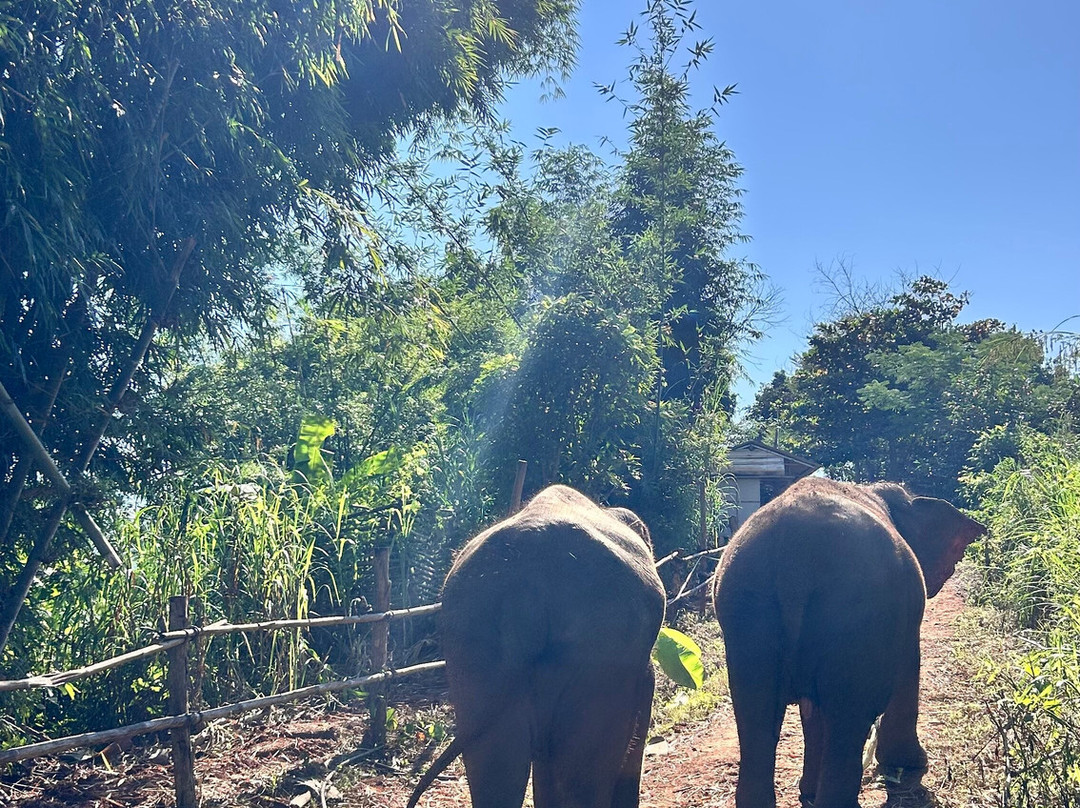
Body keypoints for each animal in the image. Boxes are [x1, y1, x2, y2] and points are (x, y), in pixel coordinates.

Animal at [712, 477, 986, 808]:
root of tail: (794, 557)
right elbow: (908, 670)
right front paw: (910, 765)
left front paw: (807, 792)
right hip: (855, 614)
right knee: (847, 716)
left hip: (748, 609)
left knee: (757, 715)